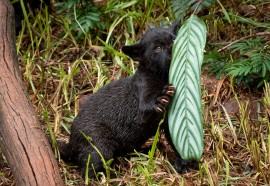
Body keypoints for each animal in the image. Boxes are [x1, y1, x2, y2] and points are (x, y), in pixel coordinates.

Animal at [58, 20, 198, 177]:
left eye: (173, 39)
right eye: (158, 48)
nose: (176, 48)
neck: (162, 77)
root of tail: (70, 142)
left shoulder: (169, 123)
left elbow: (177, 142)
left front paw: (184, 163)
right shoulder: (142, 105)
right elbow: (148, 105)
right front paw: (163, 96)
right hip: (100, 146)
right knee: (88, 171)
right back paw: (113, 175)